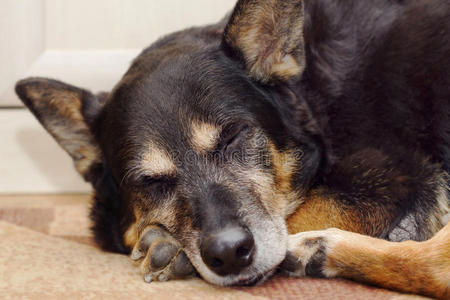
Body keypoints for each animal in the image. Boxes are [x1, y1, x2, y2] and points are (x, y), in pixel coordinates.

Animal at [14, 0, 450, 298]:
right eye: (150, 182)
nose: (227, 254)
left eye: (232, 137)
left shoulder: (388, 175)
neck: (315, 101)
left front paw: (171, 249)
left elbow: (303, 211)